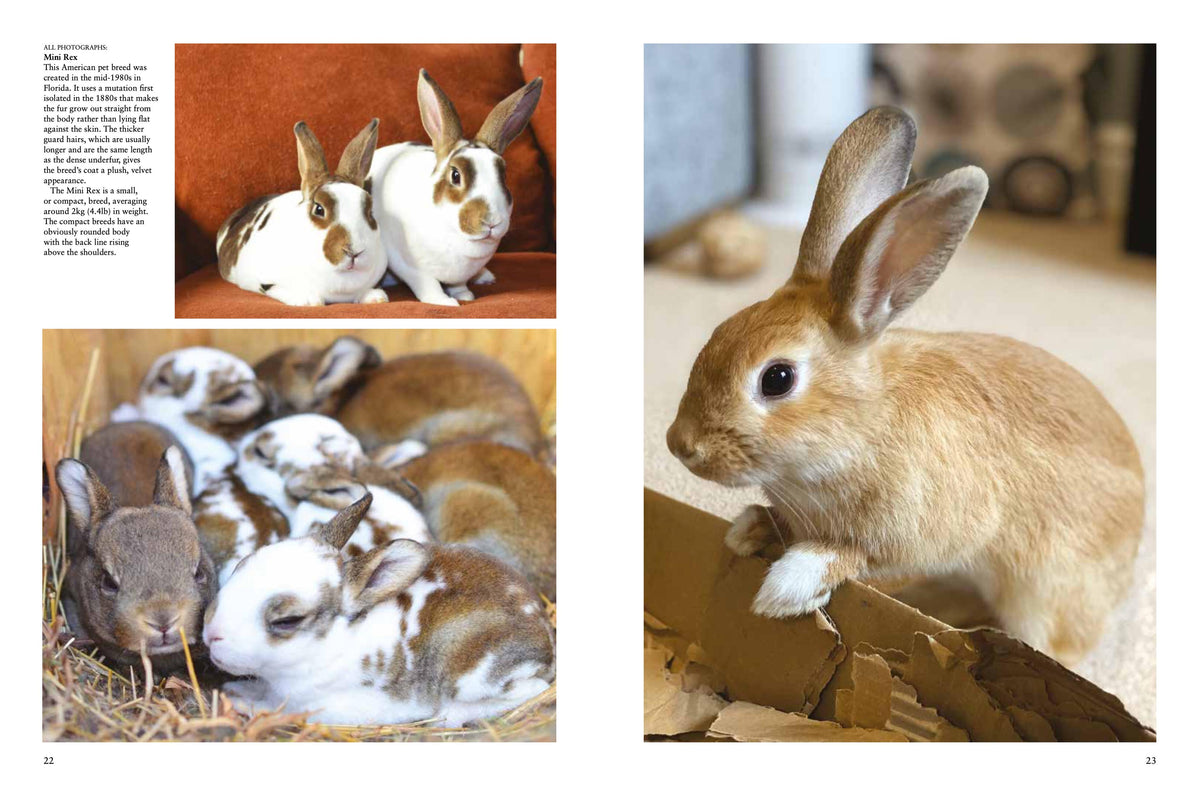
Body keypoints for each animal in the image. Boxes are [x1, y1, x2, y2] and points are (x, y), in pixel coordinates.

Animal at [202, 494, 555, 726]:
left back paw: (447, 715)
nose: (211, 633)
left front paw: (242, 701)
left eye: (288, 620)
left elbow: (281, 710)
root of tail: (543, 637)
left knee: (531, 691)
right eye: (243, 565)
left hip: (475, 675)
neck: (333, 644)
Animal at [217, 119, 388, 307]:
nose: (354, 251)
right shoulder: (268, 282)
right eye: (319, 209)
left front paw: (376, 298)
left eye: (370, 211)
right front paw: (310, 301)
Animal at [367, 69, 542, 306]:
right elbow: (427, 284)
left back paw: (485, 276)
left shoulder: (459, 275)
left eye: (503, 175)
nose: (492, 222)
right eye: (455, 175)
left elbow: (459, 285)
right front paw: (445, 302)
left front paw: (465, 295)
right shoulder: (410, 266)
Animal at [665, 107, 1144, 667]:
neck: (864, 422)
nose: (680, 444)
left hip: (1041, 595)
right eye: (718, 332)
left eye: (777, 378)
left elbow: (851, 555)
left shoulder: (918, 532)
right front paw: (745, 531)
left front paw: (786, 589)